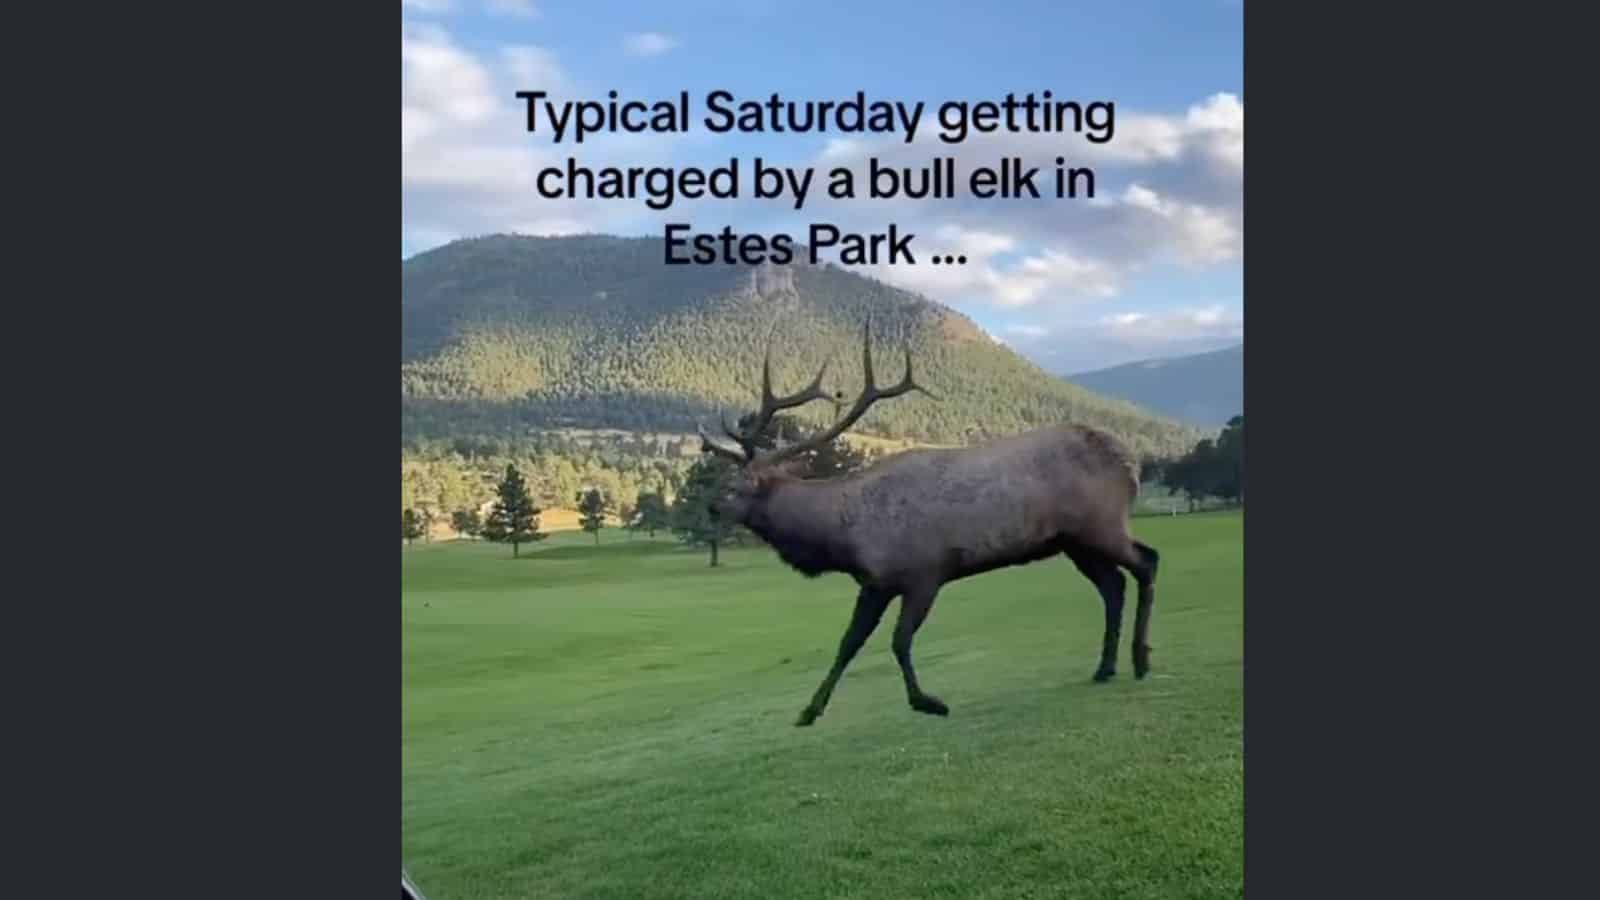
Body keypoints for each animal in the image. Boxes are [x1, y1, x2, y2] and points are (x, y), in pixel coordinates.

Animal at [697, 316, 1162, 727]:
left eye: (734, 487)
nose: (711, 507)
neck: (843, 538)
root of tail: (1131, 463)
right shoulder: (876, 583)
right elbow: (848, 643)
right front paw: (809, 711)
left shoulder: (923, 573)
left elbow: (899, 641)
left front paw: (928, 702)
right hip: (1074, 542)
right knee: (1113, 585)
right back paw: (1105, 667)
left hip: (1101, 523)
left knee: (1147, 562)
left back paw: (1140, 659)